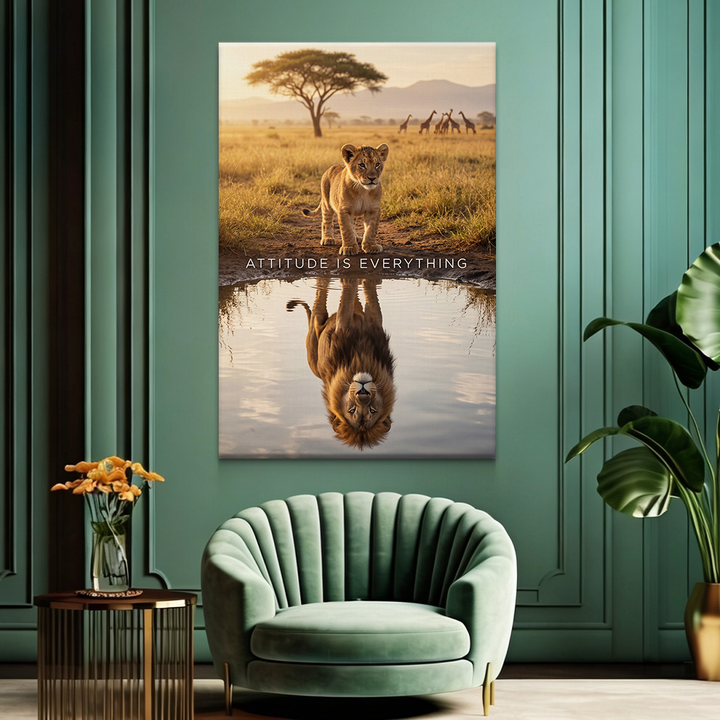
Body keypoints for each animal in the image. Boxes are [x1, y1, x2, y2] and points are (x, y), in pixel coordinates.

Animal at [286, 277, 396, 450]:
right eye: (351, 410)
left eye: (372, 410)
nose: (362, 392)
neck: (362, 358)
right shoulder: (343, 325)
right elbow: (346, 302)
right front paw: (349, 281)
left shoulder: (374, 322)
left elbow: (371, 298)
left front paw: (369, 281)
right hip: (316, 327)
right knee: (320, 300)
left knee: (356, 304)